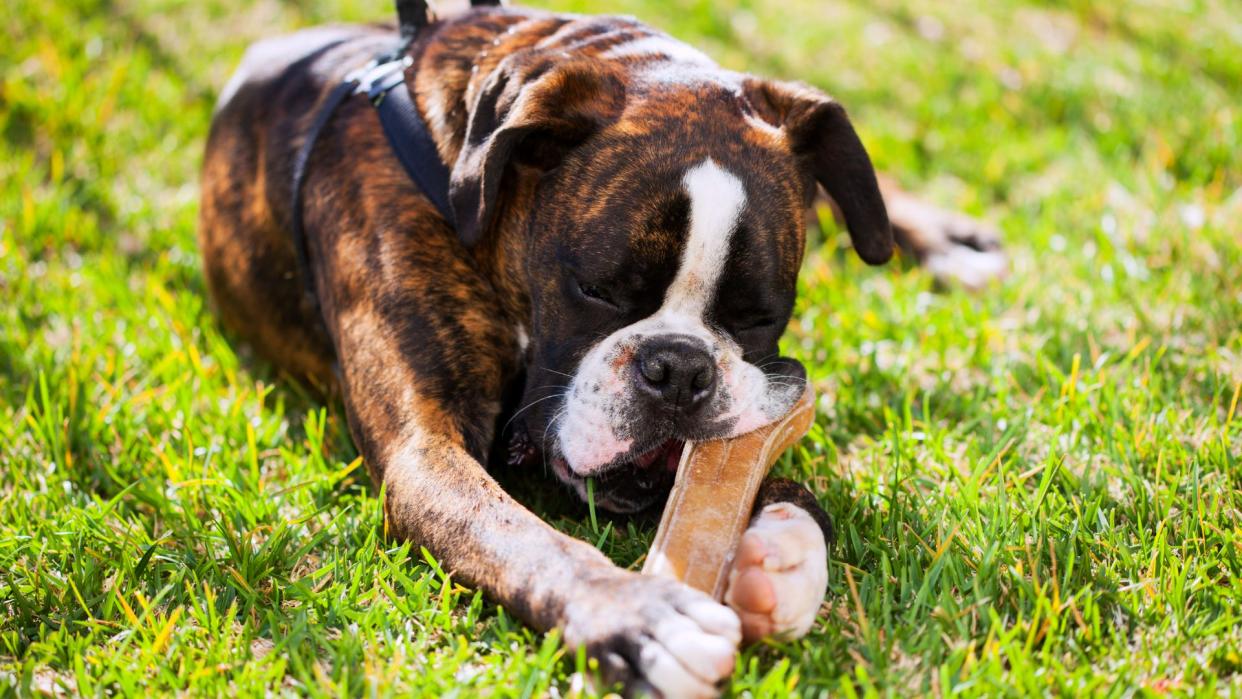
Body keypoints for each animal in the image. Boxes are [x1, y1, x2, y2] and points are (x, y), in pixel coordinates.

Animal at [198, 4, 1003, 695]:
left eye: (757, 317)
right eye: (599, 291)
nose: (679, 369)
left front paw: (782, 550)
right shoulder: (425, 453)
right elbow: (527, 539)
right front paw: (641, 619)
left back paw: (941, 236)